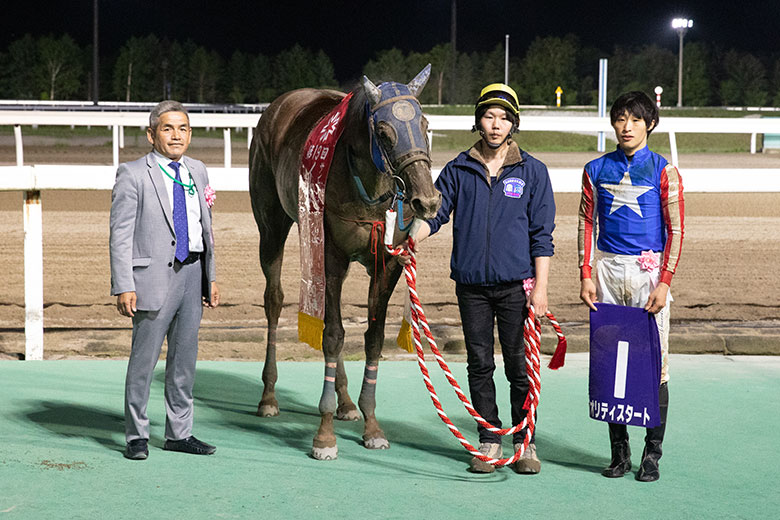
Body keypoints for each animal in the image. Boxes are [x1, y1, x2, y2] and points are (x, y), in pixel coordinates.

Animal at [248, 65, 441, 460]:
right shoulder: (330, 254)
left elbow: (372, 339)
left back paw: (346, 402)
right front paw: (324, 436)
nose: (427, 200)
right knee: (274, 300)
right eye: (383, 132)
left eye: (425, 123)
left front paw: (371, 424)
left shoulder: (387, 263)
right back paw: (269, 396)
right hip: (272, 225)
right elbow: (334, 336)